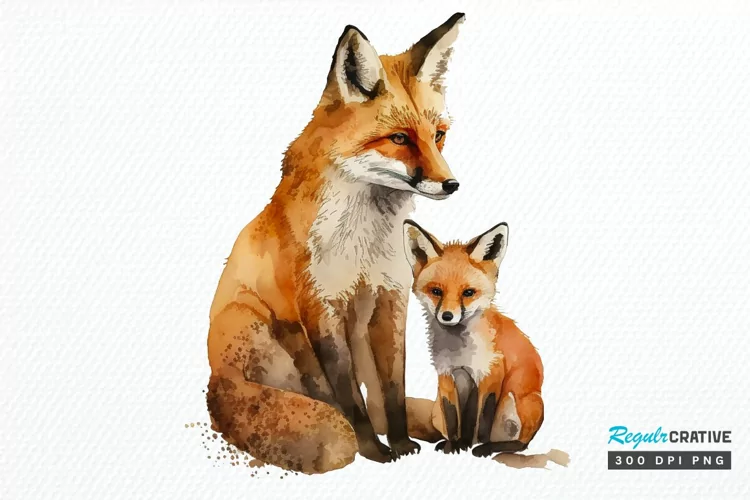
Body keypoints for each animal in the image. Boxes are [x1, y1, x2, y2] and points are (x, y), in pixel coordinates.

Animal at [206, 13, 466, 474]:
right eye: (399, 139)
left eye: (438, 136)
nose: (451, 184)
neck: (363, 243)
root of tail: (212, 378)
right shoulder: (320, 306)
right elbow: (350, 399)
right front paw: (374, 450)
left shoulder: (389, 298)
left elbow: (391, 389)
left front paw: (400, 442)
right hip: (253, 325)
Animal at [402, 219, 544, 458]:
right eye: (436, 291)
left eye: (468, 293)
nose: (447, 316)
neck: (461, 352)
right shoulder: (448, 376)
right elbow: (454, 419)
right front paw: (454, 445)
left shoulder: (490, 374)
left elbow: (483, 417)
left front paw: (478, 446)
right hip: (436, 412)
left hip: (520, 402)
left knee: (521, 443)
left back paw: (492, 446)